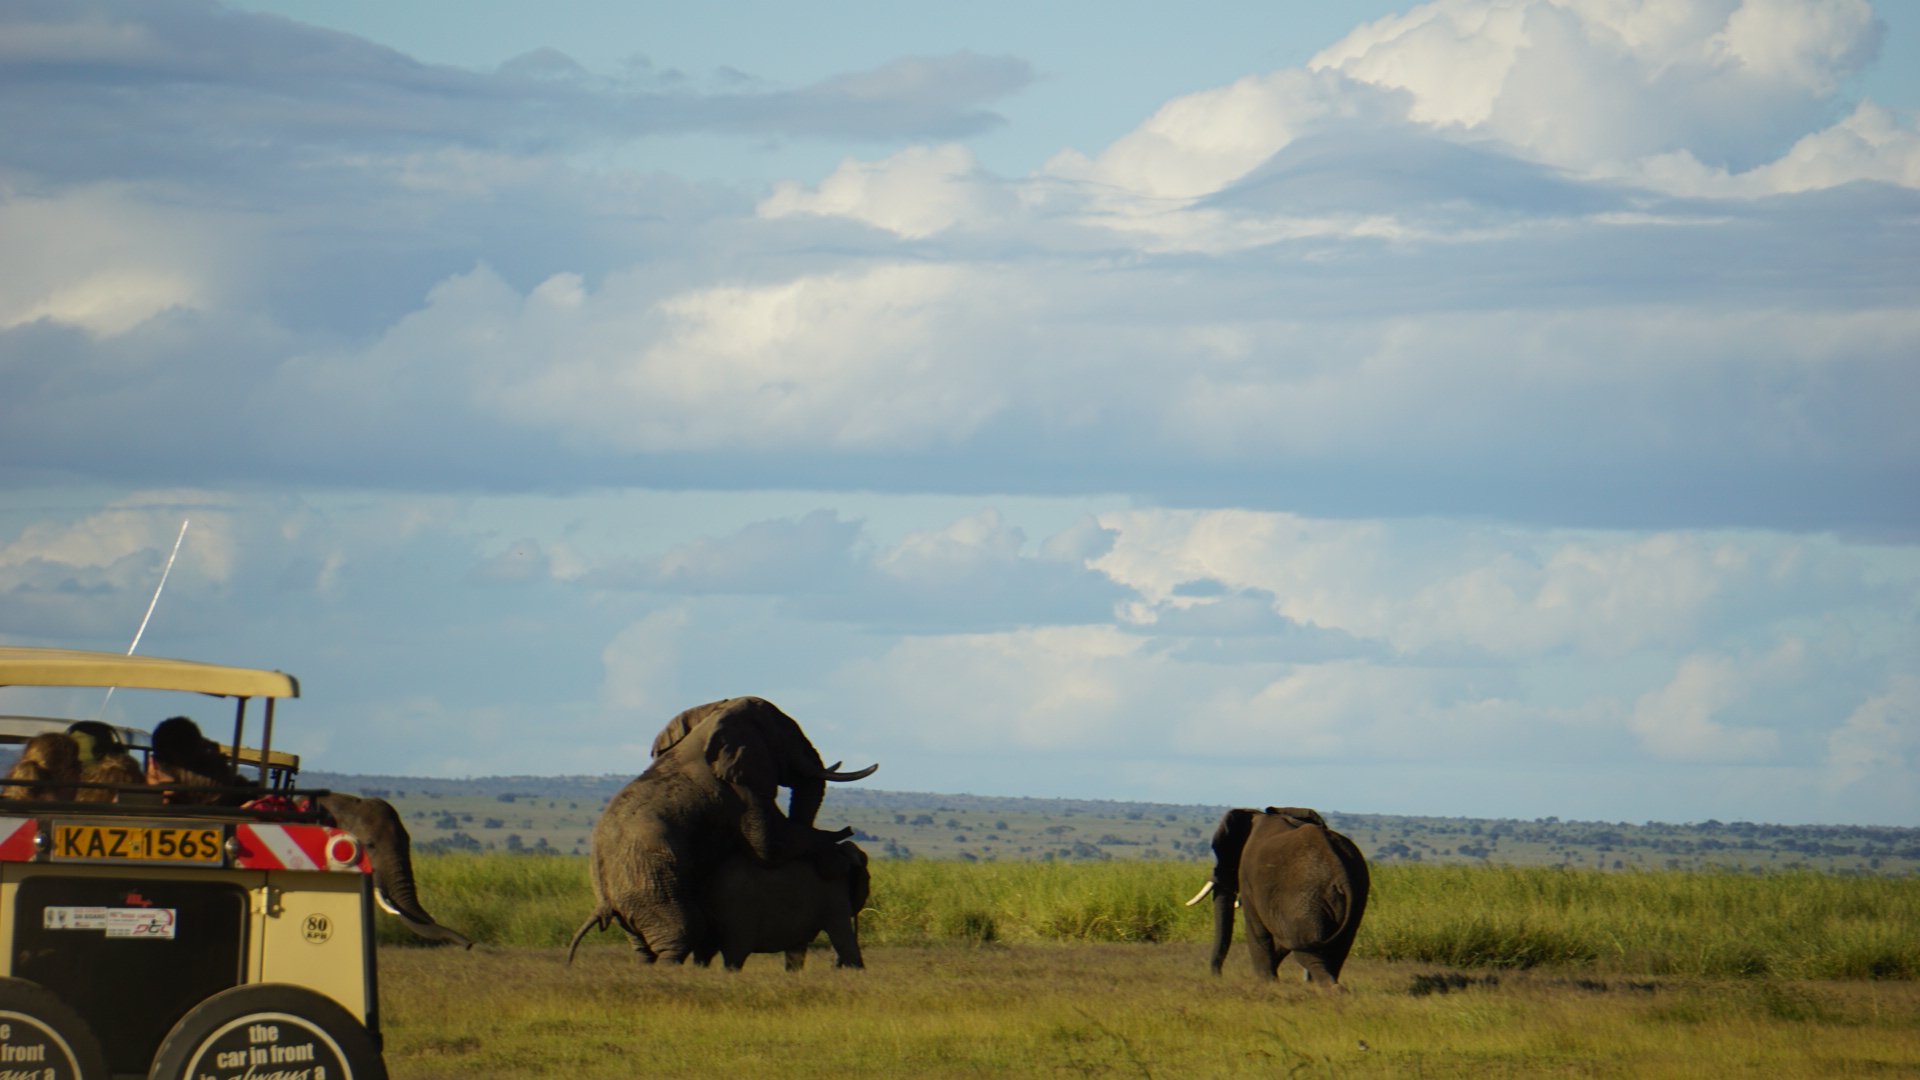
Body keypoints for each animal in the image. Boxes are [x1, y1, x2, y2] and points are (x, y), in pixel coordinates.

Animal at [1182, 799, 1367, 983]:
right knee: (1337, 950)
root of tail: (1342, 875)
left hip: (1306, 899)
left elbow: (1256, 927)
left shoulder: (1247, 876)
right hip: (1354, 898)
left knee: (1306, 951)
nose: (1218, 975)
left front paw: (1267, 982)